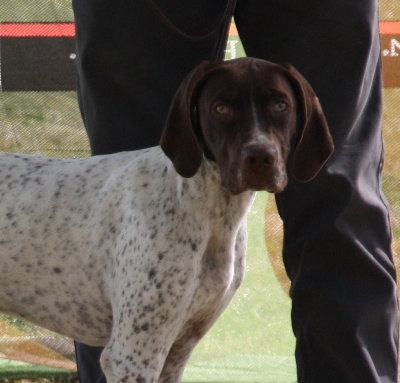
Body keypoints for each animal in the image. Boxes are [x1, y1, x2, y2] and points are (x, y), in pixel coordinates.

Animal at [0, 57, 332, 383]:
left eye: (281, 105)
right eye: (220, 108)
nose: (260, 157)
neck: (205, 210)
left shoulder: (178, 349)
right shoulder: (131, 356)